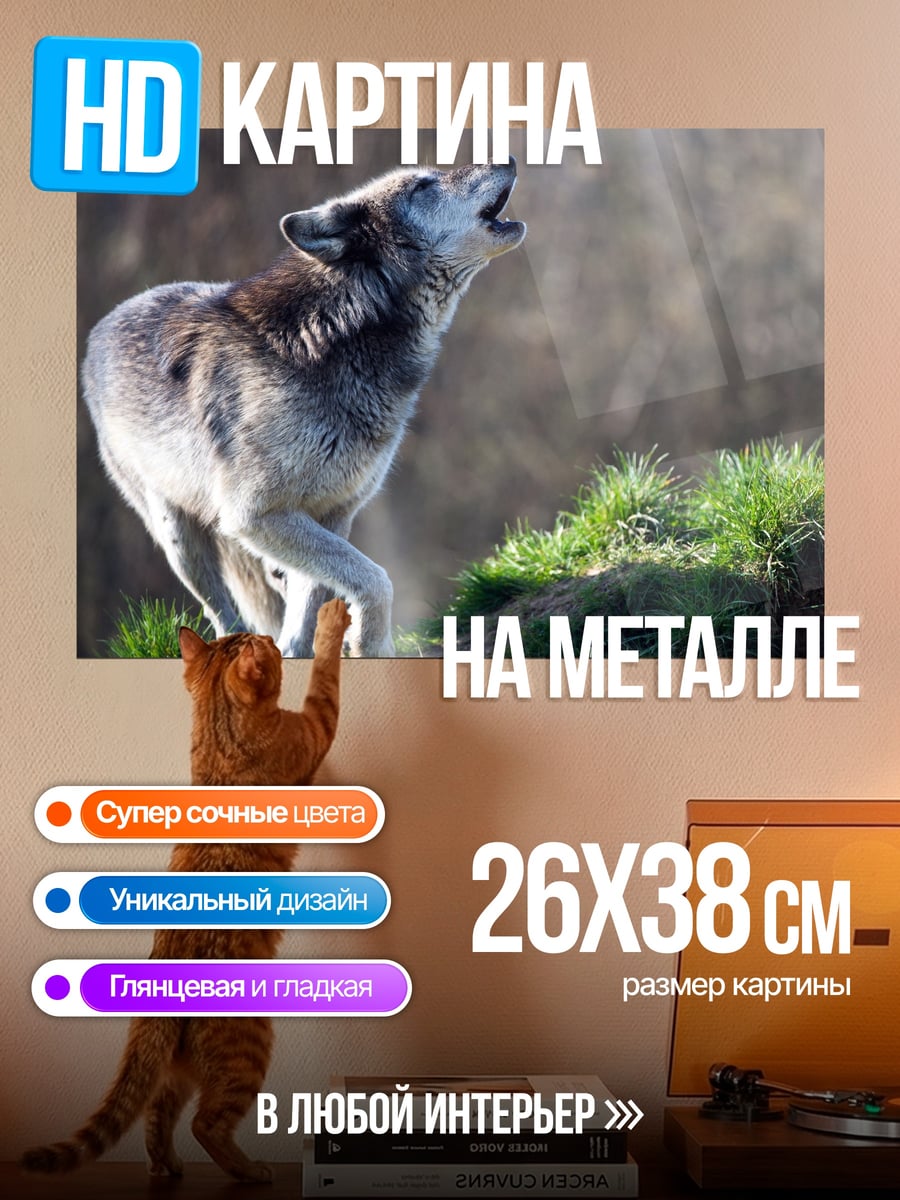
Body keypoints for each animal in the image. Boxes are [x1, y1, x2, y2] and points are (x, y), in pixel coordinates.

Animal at [83, 162, 526, 656]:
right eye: (423, 185)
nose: (507, 159)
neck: (334, 337)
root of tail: (101, 328)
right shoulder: (255, 515)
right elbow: (376, 580)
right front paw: (372, 645)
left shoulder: (334, 512)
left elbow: (311, 606)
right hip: (179, 539)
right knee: (222, 613)